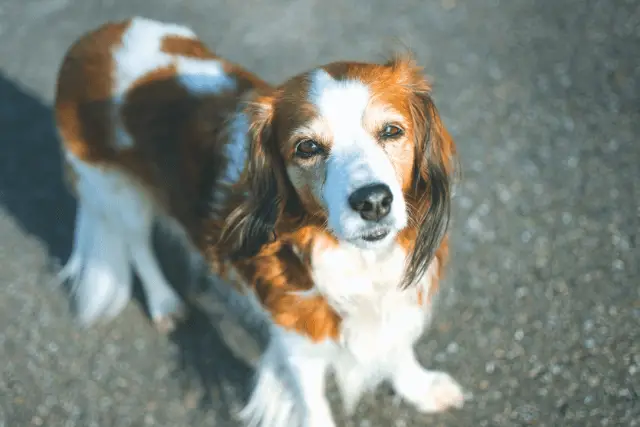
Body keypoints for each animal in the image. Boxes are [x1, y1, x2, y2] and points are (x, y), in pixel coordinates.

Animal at [55, 16, 462, 427]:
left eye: (392, 131)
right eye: (307, 147)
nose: (374, 201)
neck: (356, 259)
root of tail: (98, 36)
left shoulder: (394, 299)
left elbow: (398, 347)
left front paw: (420, 388)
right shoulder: (297, 334)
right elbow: (313, 403)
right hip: (118, 192)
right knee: (138, 247)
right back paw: (164, 302)